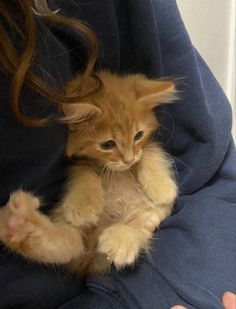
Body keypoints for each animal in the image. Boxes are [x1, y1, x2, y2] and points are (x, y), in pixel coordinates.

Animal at [0, 70, 178, 274]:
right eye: (108, 144)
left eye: (138, 135)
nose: (128, 160)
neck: (115, 170)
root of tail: (90, 259)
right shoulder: (79, 162)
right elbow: (84, 174)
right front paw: (83, 205)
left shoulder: (145, 146)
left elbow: (151, 152)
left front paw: (162, 188)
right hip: (72, 231)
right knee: (64, 244)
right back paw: (17, 224)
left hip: (146, 212)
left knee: (135, 228)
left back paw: (119, 240)